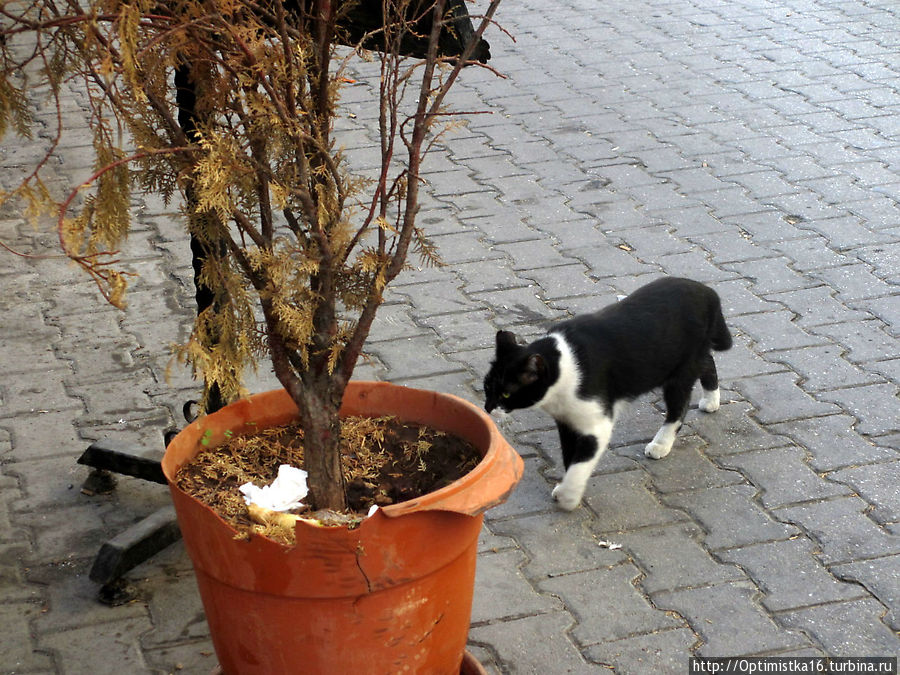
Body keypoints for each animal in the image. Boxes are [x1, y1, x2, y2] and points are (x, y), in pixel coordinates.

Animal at [486, 278, 732, 510]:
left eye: (506, 394)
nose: (488, 408)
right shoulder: (566, 421)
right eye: (487, 387)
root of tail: (708, 292)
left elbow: (581, 462)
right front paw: (567, 485)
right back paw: (711, 400)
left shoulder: (597, 422)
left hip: (680, 371)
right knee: (708, 361)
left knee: (679, 406)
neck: (564, 365)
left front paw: (569, 496)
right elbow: (569, 454)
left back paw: (661, 443)